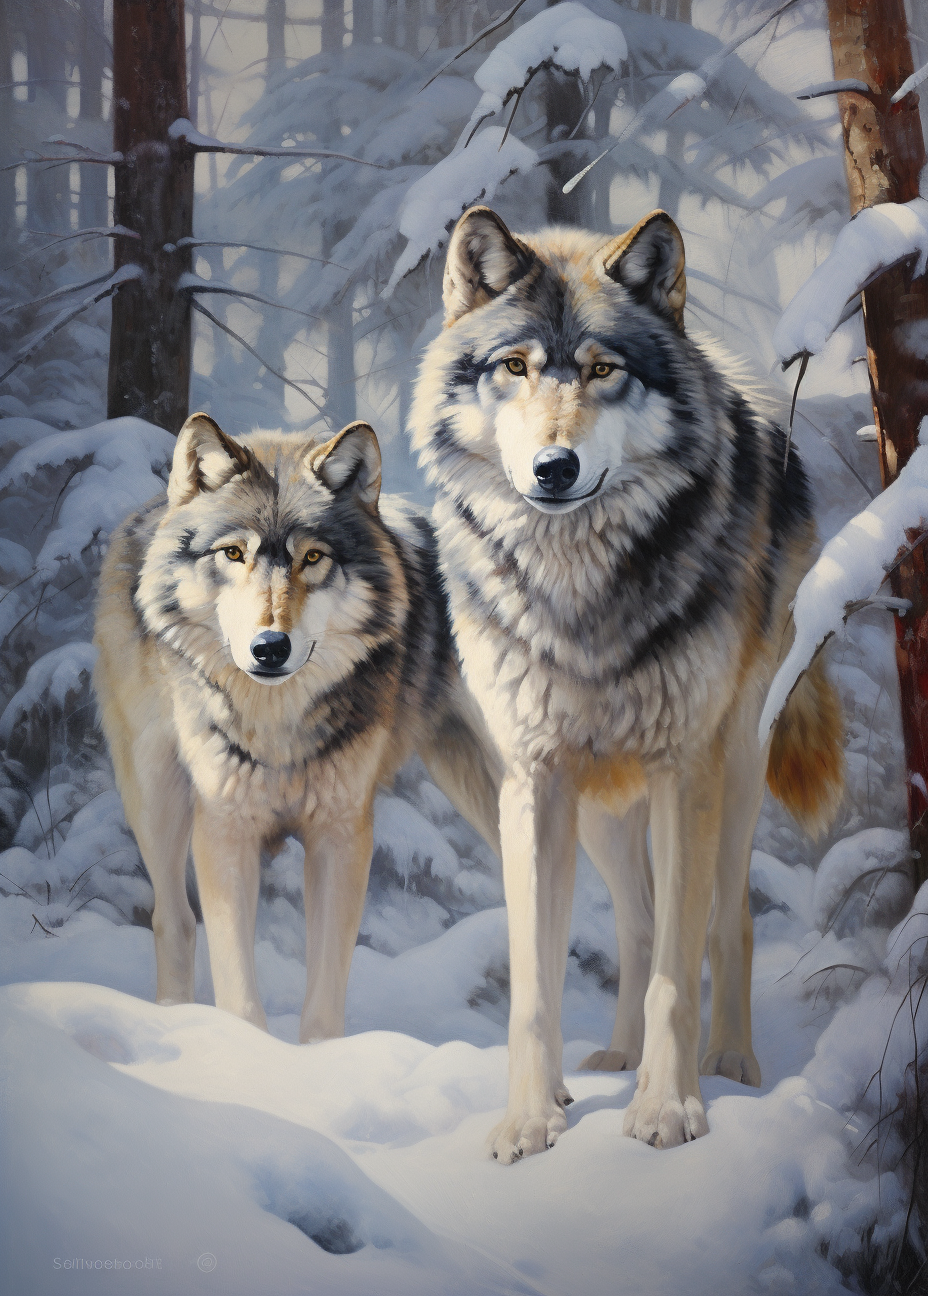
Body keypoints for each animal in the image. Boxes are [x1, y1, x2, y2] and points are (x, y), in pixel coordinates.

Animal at [95, 413, 500, 1042]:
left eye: (313, 557)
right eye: (232, 553)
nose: (269, 648)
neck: (277, 722)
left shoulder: (341, 835)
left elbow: (325, 989)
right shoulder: (225, 828)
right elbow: (237, 987)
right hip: (156, 794)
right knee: (173, 918)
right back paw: (174, 1018)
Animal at [410, 206, 844, 1161]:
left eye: (604, 370)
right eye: (514, 367)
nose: (554, 468)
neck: (578, 592)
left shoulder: (685, 770)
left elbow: (680, 974)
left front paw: (669, 1110)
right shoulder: (532, 782)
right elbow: (537, 982)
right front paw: (530, 1120)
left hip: (733, 771)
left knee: (725, 919)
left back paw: (730, 1063)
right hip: (603, 806)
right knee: (638, 923)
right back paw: (614, 1056)